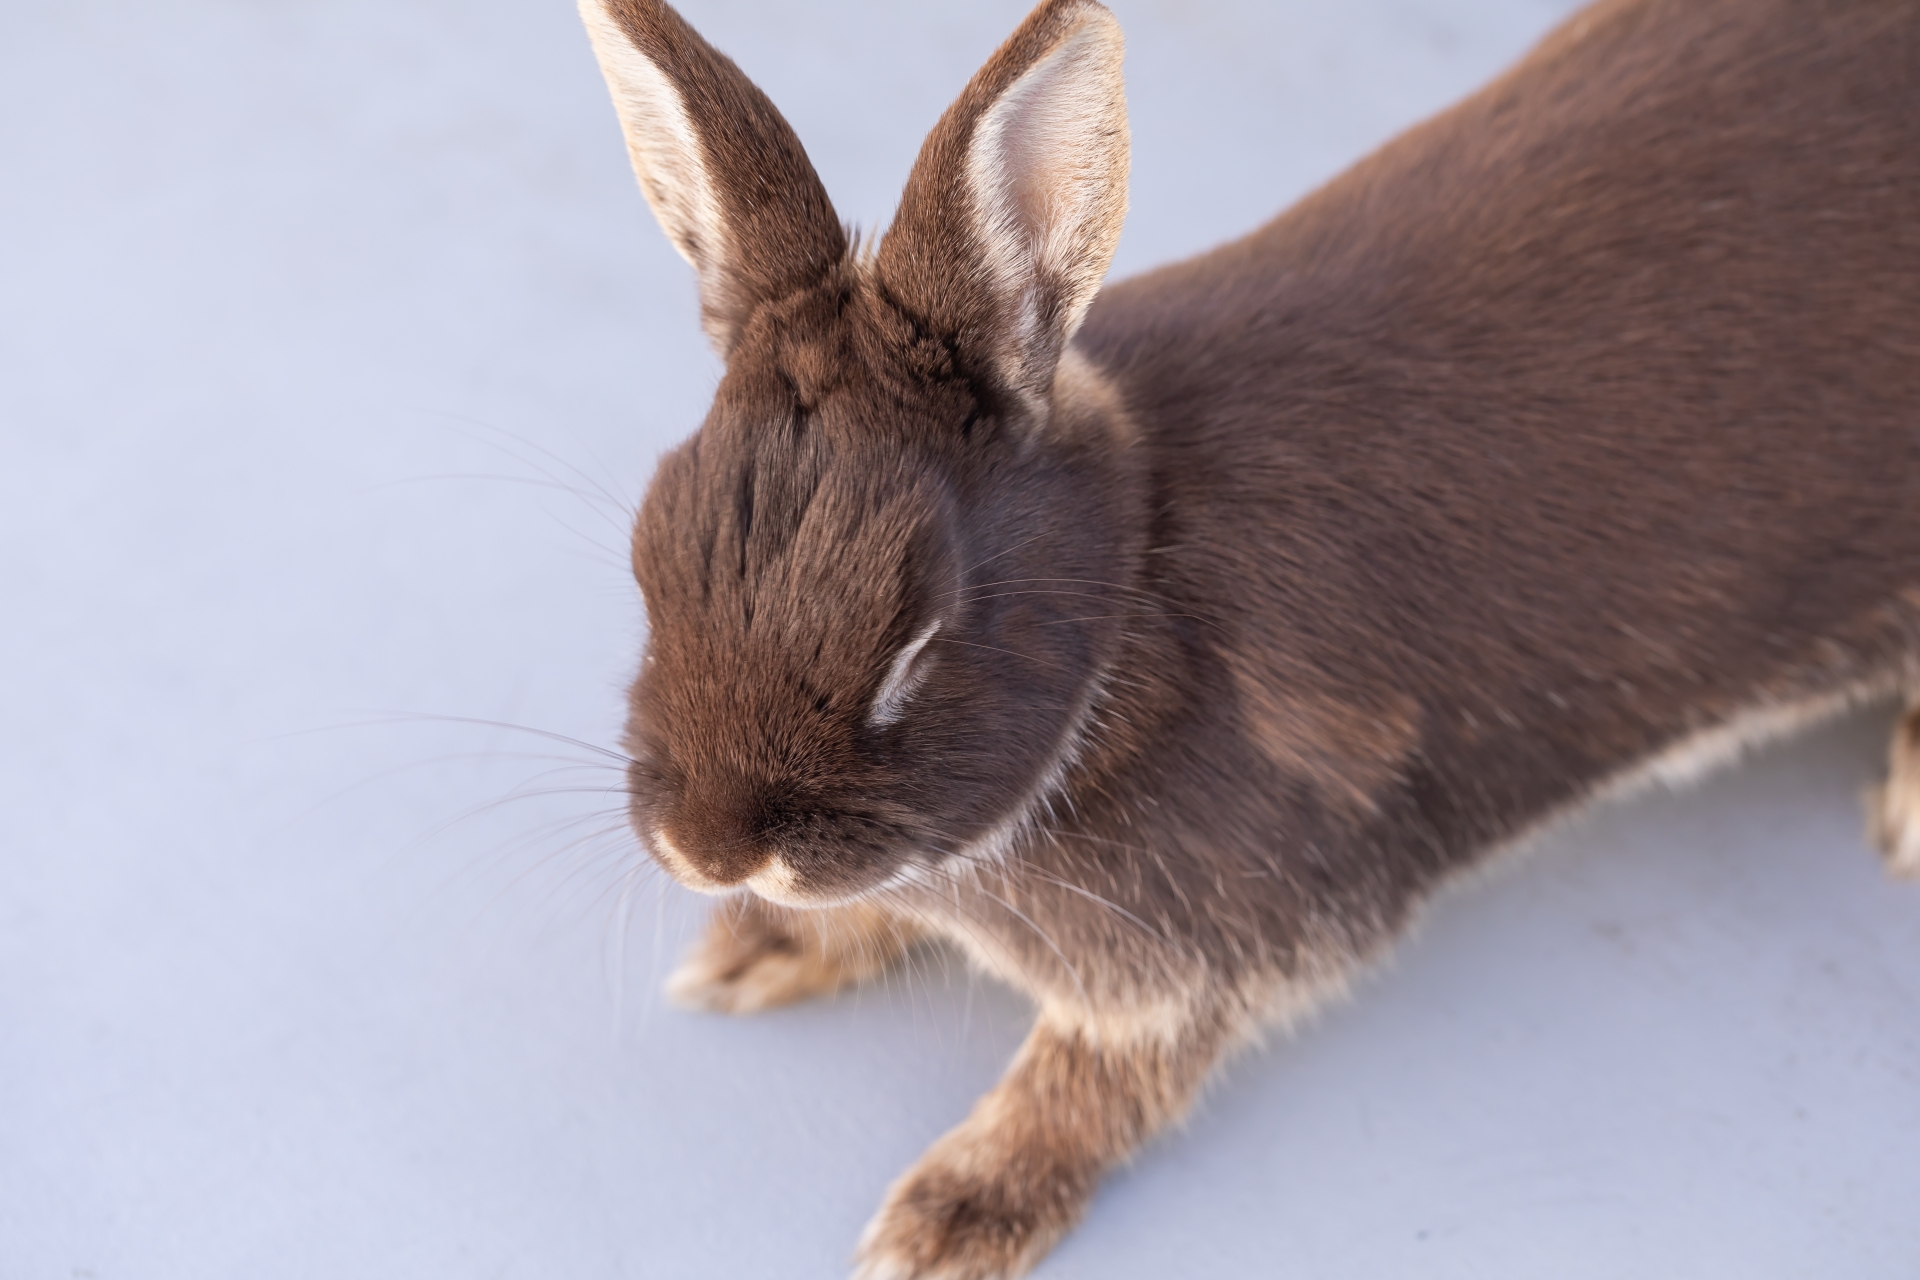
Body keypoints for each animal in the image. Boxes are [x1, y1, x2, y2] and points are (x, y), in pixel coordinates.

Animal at [572, 0, 1920, 1274]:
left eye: (918, 639)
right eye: (648, 559)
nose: (709, 848)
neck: (1129, 602)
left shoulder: (1209, 947)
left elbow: (1094, 1083)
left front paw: (951, 1216)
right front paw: (754, 952)